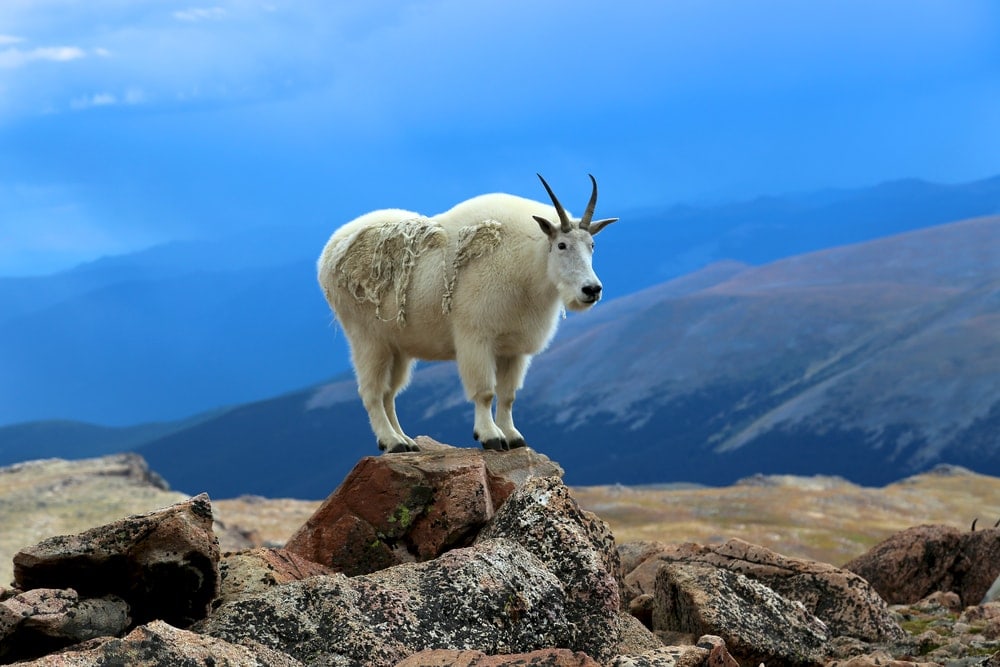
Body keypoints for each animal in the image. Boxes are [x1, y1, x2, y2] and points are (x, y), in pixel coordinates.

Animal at [317, 174, 618, 453]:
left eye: (592, 245)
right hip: (368, 338)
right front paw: (490, 436)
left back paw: (406, 440)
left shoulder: (514, 348)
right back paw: (392, 442)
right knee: (372, 392)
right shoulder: (476, 337)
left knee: (390, 393)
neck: (528, 266)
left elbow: (508, 395)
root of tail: (328, 252)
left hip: (397, 346)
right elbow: (485, 392)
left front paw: (513, 436)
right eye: (561, 245)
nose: (591, 289)